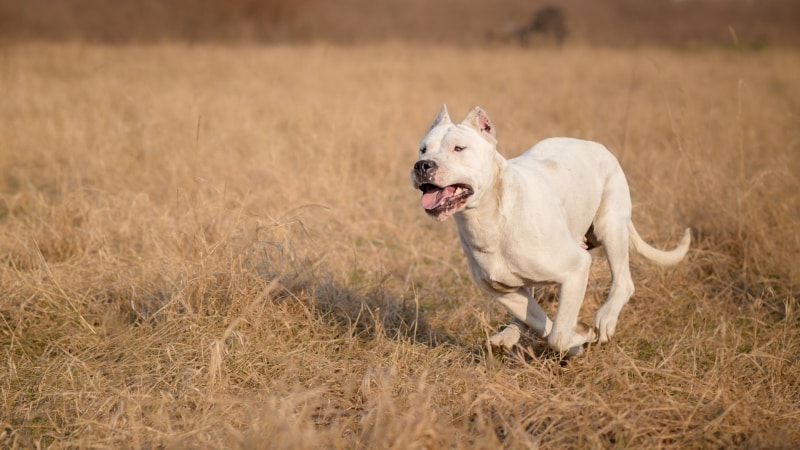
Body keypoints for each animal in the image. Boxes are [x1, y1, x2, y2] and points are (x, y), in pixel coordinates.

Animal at [410, 106, 692, 356]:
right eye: (423, 148)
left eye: (458, 148)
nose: (422, 165)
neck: (489, 218)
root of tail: (593, 145)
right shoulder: (501, 291)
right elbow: (542, 323)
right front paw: (576, 340)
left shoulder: (577, 268)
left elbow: (557, 335)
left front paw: (581, 336)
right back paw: (508, 335)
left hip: (610, 226)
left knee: (624, 281)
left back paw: (605, 320)